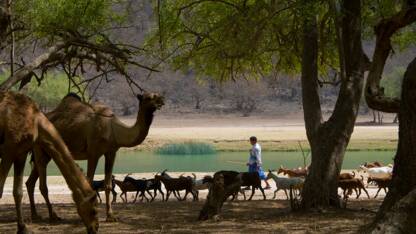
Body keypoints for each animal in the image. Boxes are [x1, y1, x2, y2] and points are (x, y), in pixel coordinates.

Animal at [0, 91, 98, 234]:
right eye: (94, 210)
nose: (95, 228)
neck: (36, 121)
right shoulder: (8, 150)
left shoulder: (21, 153)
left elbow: (17, 192)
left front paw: (23, 228)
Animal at [26, 91, 164, 221]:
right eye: (148, 98)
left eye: (157, 95)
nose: (161, 102)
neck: (112, 128)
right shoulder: (93, 153)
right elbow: (90, 182)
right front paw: (90, 216)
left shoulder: (111, 152)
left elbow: (108, 185)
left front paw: (111, 216)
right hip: (39, 147)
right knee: (42, 184)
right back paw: (53, 216)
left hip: (47, 153)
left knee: (30, 182)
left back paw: (35, 216)